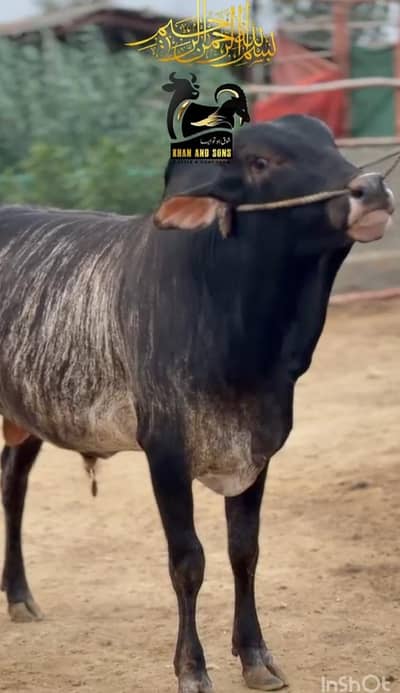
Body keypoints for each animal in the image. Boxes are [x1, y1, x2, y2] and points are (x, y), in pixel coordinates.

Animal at [0, 116, 394, 693]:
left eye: (330, 143)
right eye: (260, 162)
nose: (371, 187)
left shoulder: (257, 451)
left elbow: (244, 551)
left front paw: (255, 656)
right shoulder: (165, 453)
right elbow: (188, 561)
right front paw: (192, 667)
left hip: (27, 415)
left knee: (13, 484)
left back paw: (20, 595)